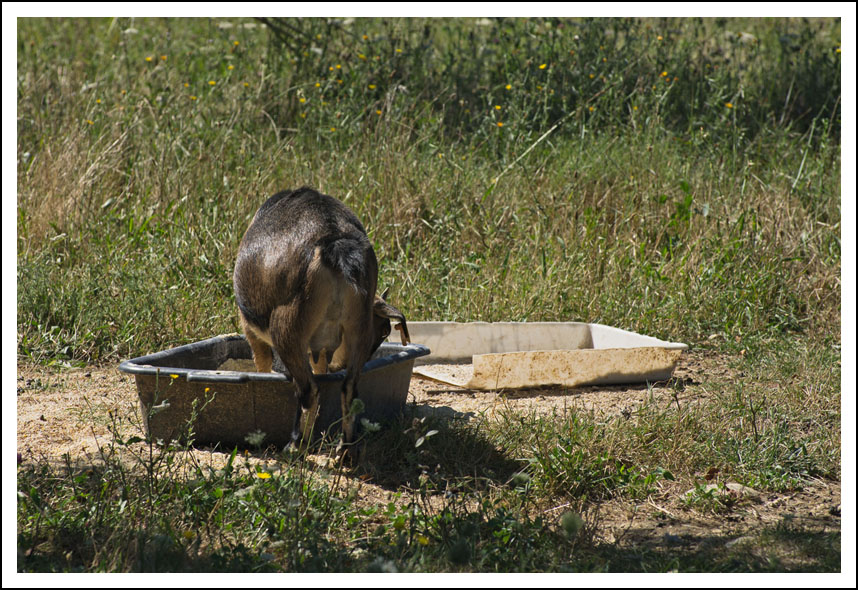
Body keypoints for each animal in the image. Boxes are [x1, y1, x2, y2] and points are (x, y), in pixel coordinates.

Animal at [232, 187, 410, 460]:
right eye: (384, 331)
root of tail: (335, 245)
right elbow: (322, 368)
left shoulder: (251, 328)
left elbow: (262, 362)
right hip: (358, 329)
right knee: (349, 390)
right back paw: (345, 451)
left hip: (287, 328)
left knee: (309, 390)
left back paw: (296, 446)